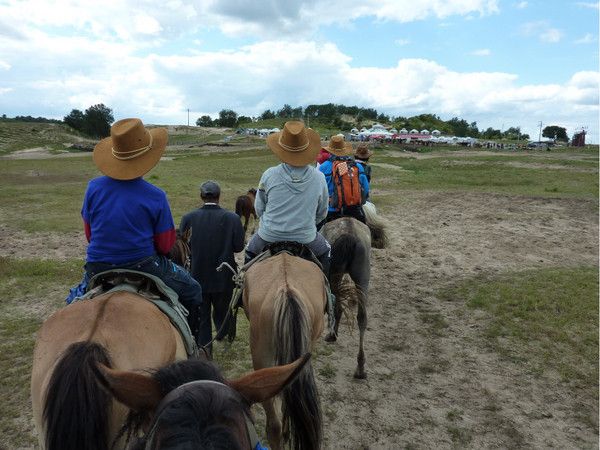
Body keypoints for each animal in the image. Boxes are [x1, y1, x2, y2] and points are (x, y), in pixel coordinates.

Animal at [324, 216, 370, 378]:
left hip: (333, 275)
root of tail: (349, 235)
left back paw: (332, 334)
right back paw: (360, 368)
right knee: (362, 317)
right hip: (363, 278)